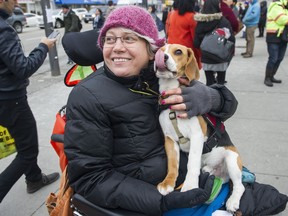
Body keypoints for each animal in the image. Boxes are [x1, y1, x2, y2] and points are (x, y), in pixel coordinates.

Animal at [154, 44, 244, 213]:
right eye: (159, 50)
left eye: (178, 51)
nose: (162, 57)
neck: (173, 102)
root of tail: (222, 174)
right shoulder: (169, 139)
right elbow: (173, 164)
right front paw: (168, 183)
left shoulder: (196, 135)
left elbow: (192, 163)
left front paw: (190, 187)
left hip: (232, 159)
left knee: (239, 186)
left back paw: (233, 201)